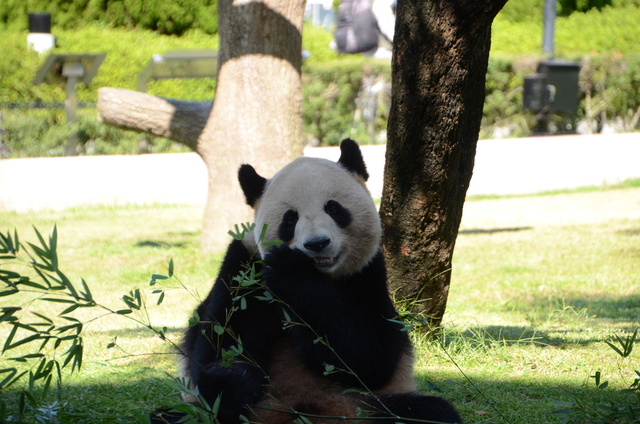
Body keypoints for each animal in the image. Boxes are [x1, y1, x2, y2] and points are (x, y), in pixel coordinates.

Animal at [152, 139, 462, 424]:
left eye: (334, 208)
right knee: (172, 417)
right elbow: (223, 340)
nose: (317, 244)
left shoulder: (368, 274)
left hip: (366, 405)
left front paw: (292, 272)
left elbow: (371, 356)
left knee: (427, 412)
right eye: (290, 219)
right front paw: (229, 381)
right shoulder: (243, 271)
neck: (321, 274)